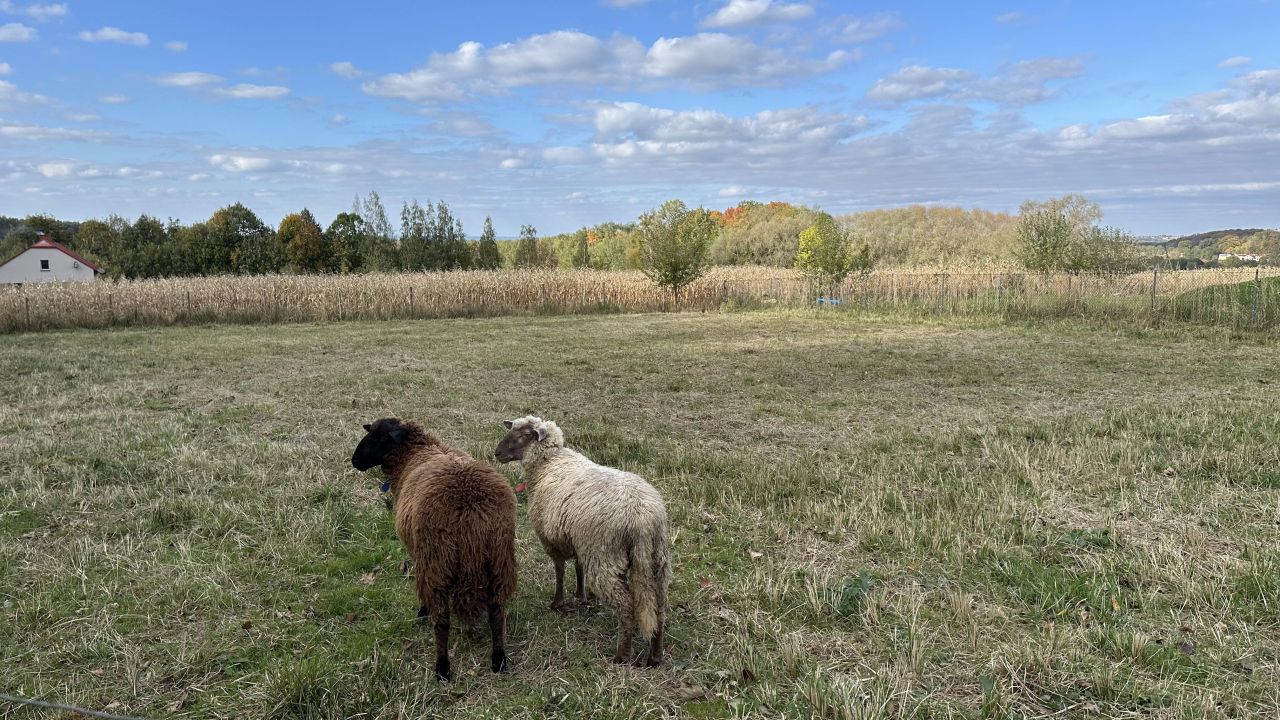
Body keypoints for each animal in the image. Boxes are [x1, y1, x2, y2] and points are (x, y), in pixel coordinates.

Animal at [353, 415, 517, 676]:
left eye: (377, 437)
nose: (355, 461)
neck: (416, 452)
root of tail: (469, 509)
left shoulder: (417, 552)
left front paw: (422, 610)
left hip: (437, 560)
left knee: (442, 620)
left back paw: (442, 668)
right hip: (499, 557)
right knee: (496, 612)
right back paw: (498, 659)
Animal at [491, 417, 670, 666]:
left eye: (523, 435)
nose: (496, 453)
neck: (549, 463)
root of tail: (643, 518)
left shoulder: (552, 539)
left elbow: (559, 570)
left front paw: (558, 602)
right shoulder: (577, 539)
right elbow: (578, 567)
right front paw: (581, 596)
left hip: (604, 554)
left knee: (626, 605)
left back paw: (622, 655)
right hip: (654, 558)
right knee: (659, 606)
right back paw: (655, 657)